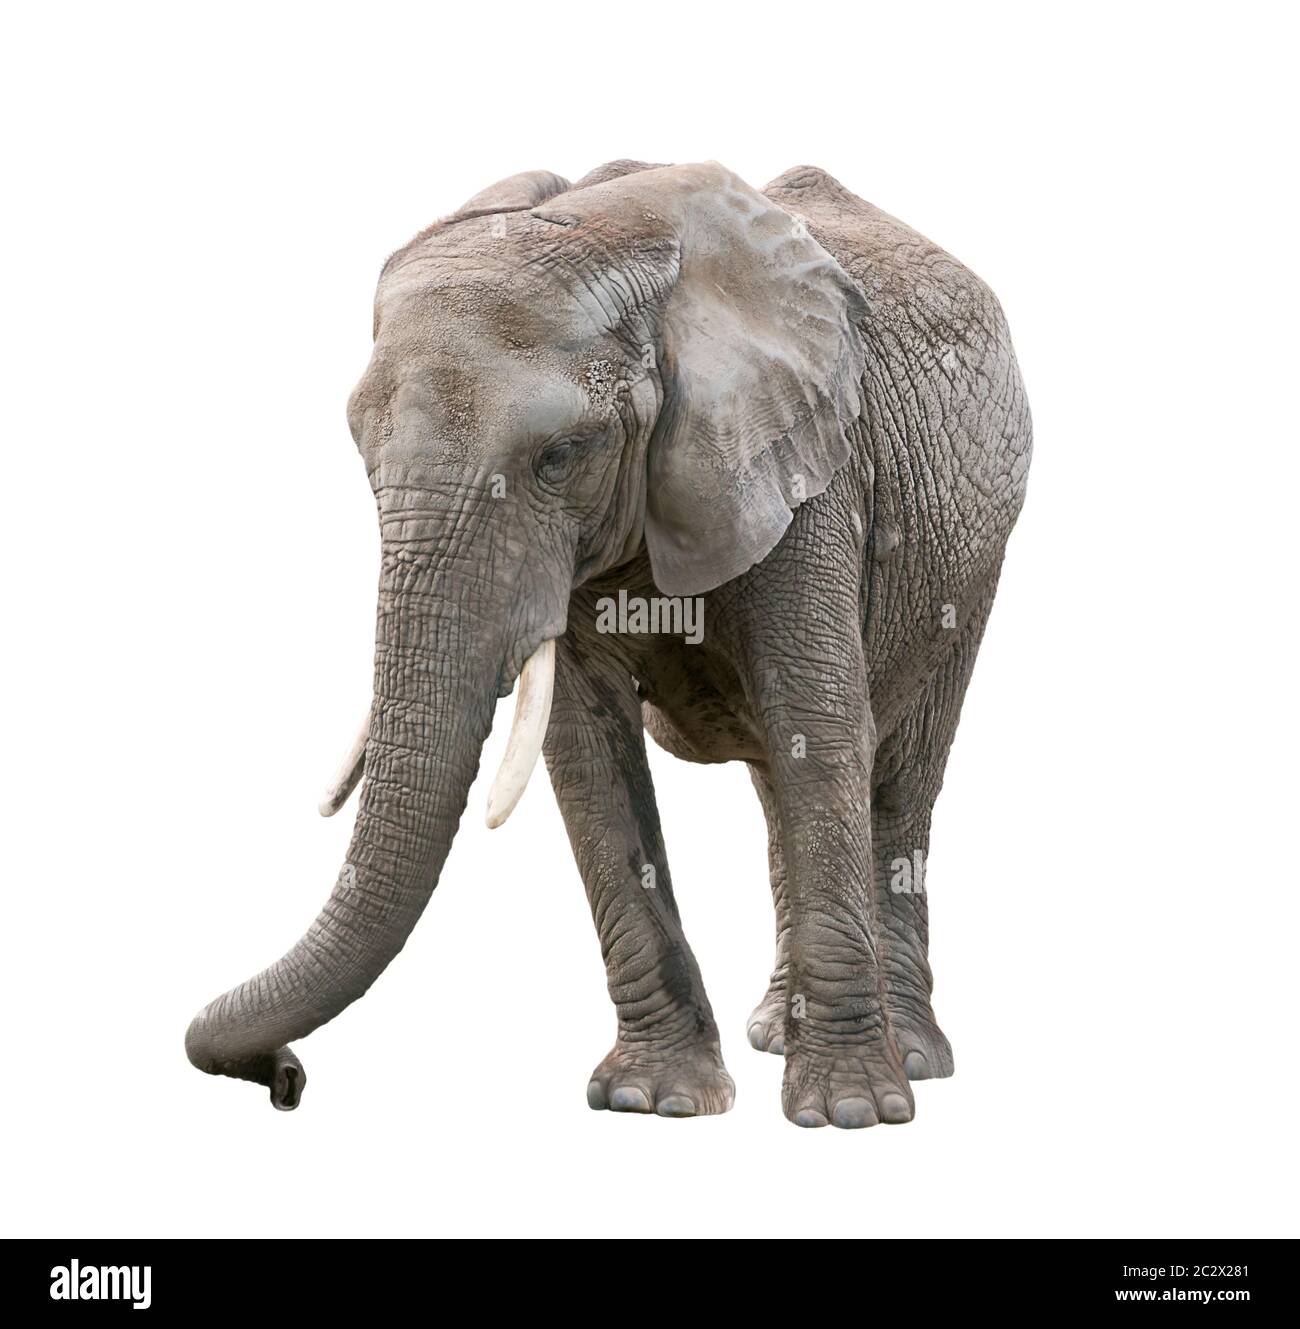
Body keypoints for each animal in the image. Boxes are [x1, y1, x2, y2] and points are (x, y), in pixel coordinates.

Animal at [185, 160, 1031, 1129]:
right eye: (362, 451)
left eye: (561, 456)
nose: (284, 1078)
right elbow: (589, 749)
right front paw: (652, 1099)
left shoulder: (811, 463)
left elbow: (818, 726)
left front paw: (849, 1113)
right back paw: (776, 1033)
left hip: (973, 560)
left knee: (897, 772)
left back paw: (914, 1058)